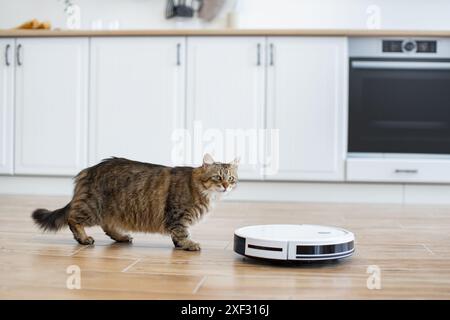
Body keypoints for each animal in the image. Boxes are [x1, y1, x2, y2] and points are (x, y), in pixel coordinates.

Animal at [31, 153, 239, 250]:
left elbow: (178, 235)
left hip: (112, 209)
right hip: (92, 207)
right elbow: (182, 233)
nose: (226, 186)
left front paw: (180, 245)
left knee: (107, 226)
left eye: (231, 179)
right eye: (218, 177)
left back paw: (122, 237)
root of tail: (88, 170)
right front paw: (188, 244)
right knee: (73, 219)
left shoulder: (176, 219)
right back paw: (83, 239)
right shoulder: (177, 216)